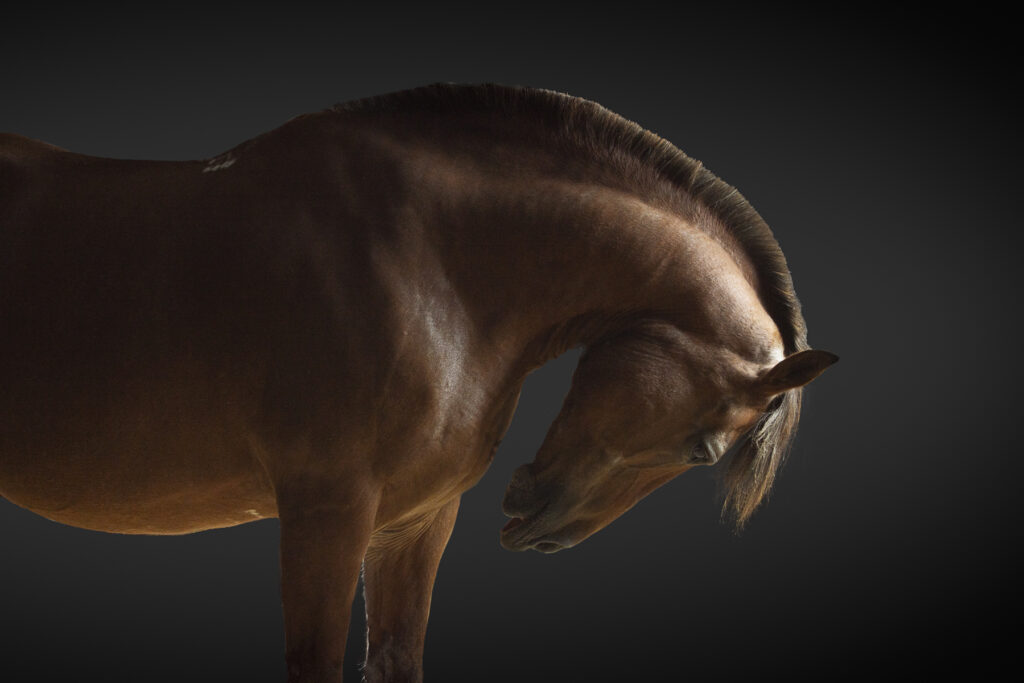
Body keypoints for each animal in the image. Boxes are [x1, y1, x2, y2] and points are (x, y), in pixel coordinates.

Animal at [0, 83, 837, 682]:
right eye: (701, 449)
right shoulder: (327, 516)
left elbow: (397, 657)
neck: (429, 261)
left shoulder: (414, 522)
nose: (543, 529)